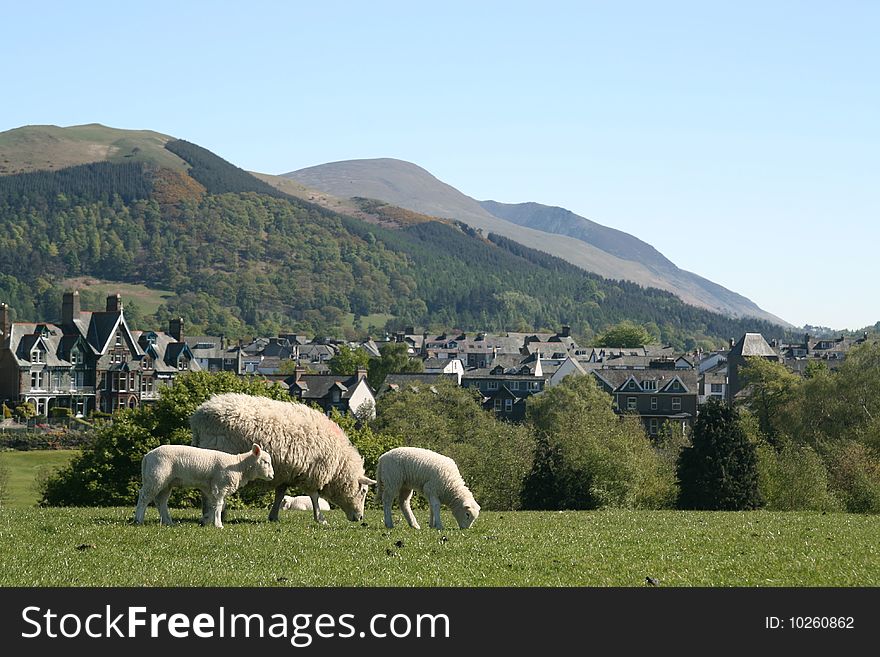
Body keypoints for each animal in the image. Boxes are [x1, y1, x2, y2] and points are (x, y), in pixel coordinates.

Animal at [132, 440, 272, 528]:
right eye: (265, 462)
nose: (272, 476)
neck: (239, 466)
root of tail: (147, 456)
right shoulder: (220, 486)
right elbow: (219, 505)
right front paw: (218, 525)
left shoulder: (211, 488)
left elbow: (215, 505)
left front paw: (207, 521)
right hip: (156, 477)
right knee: (144, 497)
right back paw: (138, 520)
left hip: (166, 482)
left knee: (161, 501)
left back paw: (168, 522)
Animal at [189, 392, 374, 524]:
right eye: (363, 491)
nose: (360, 518)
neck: (339, 466)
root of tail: (198, 417)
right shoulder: (313, 472)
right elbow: (314, 496)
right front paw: (320, 519)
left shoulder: (286, 472)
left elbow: (280, 494)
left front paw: (273, 516)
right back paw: (208, 517)